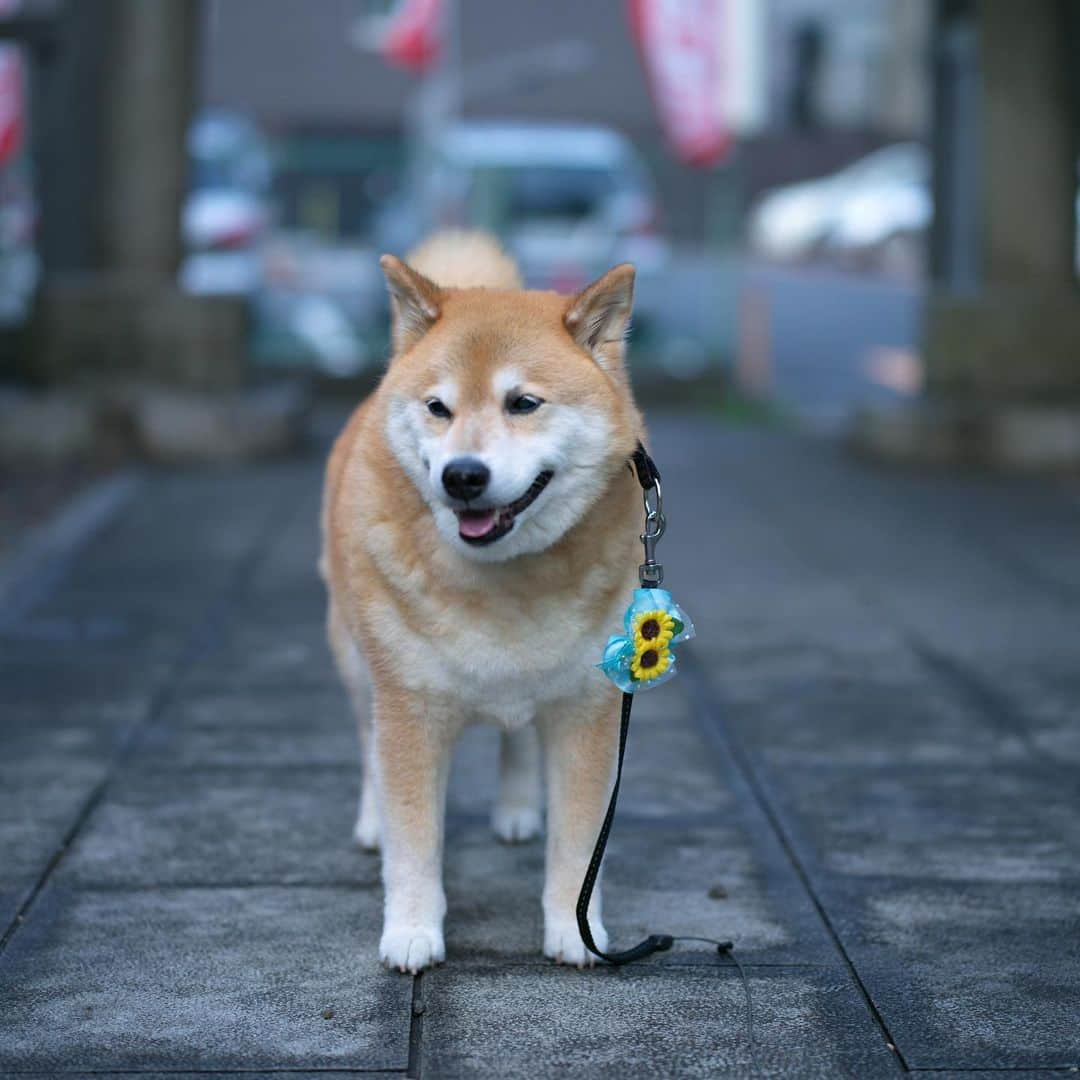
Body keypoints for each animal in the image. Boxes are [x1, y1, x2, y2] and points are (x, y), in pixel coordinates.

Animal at [317, 227, 639, 972]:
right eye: (438, 408)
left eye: (523, 403)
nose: (463, 476)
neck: (504, 580)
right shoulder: (407, 707)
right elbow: (413, 838)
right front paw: (411, 930)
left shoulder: (590, 709)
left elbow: (581, 843)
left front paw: (574, 929)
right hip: (353, 658)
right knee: (365, 744)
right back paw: (371, 820)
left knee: (516, 733)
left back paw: (517, 810)